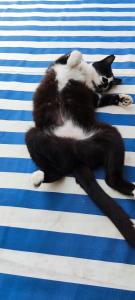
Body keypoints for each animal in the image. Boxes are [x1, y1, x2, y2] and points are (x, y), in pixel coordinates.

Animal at [25, 51, 135, 247]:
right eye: (106, 75)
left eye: (109, 84)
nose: (104, 84)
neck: (86, 77)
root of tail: (75, 156)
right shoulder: (57, 63)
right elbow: (73, 55)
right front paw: (76, 60)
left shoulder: (95, 98)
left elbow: (102, 96)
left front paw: (123, 99)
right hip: (34, 135)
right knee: (57, 171)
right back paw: (38, 177)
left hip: (109, 135)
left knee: (109, 179)